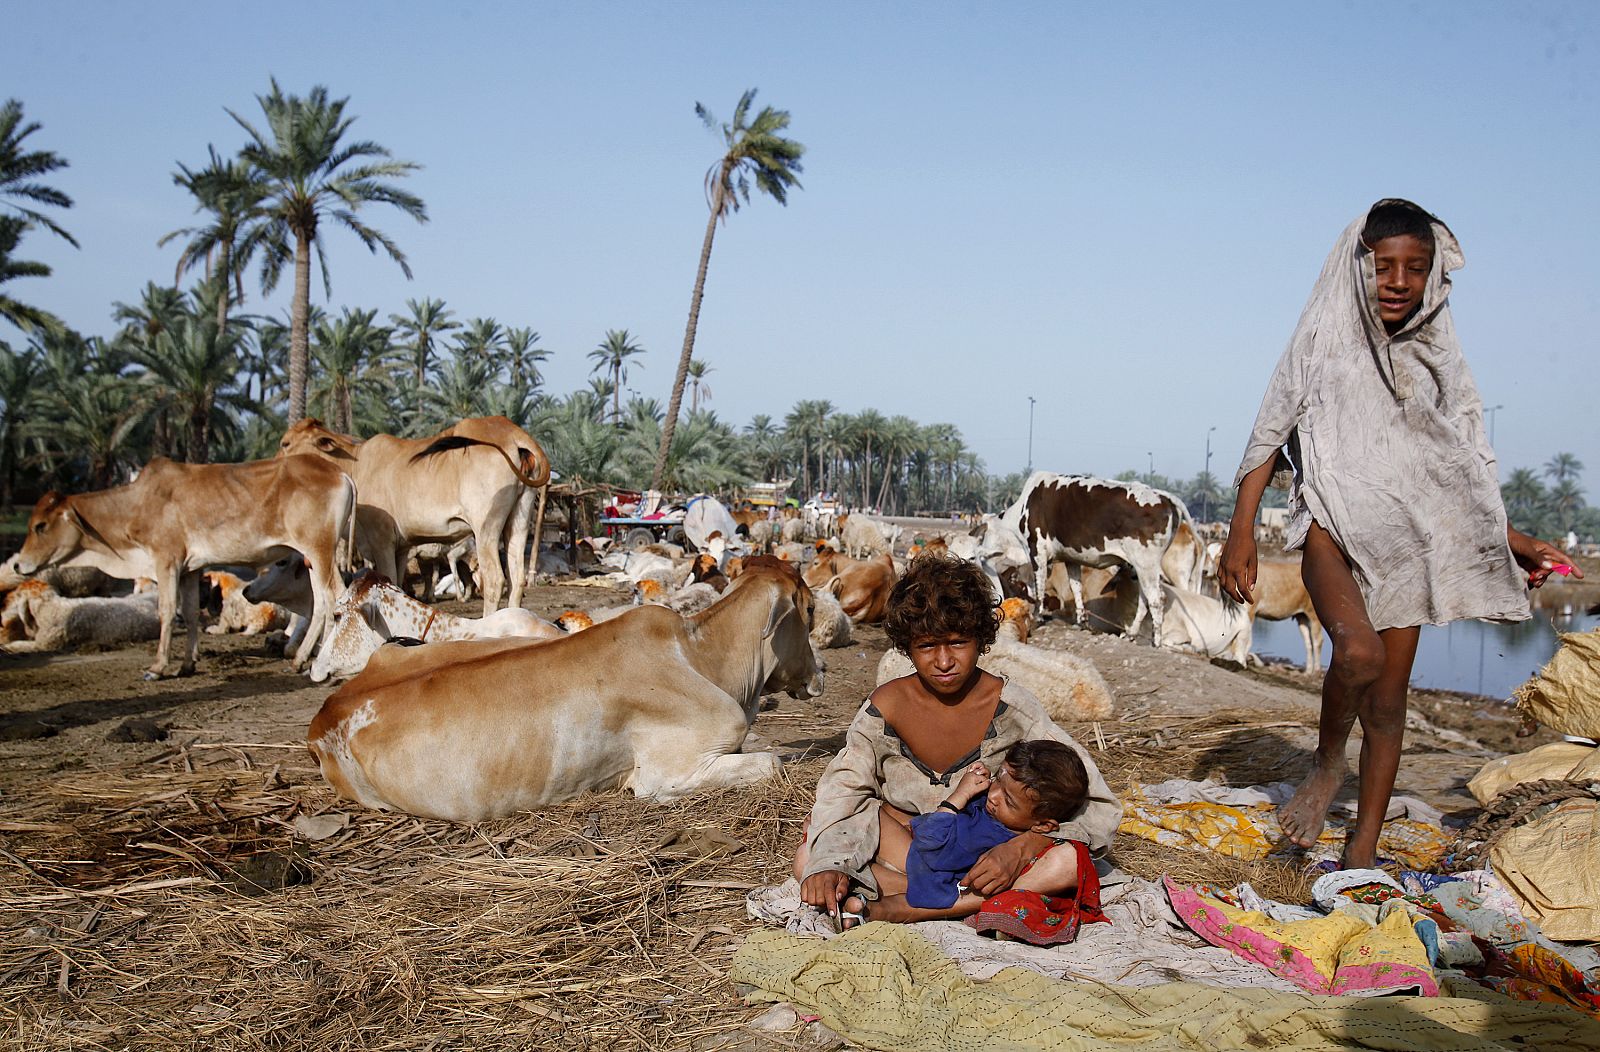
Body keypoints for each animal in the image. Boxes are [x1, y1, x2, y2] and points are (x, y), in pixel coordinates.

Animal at [0, 454, 353, 674]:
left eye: (40, 526)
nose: (18, 566)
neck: (137, 504)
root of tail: (340, 473)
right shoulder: (190, 569)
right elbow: (191, 612)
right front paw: (187, 664)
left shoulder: (166, 561)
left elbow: (167, 611)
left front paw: (158, 667)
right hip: (315, 557)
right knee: (323, 600)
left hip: (318, 551)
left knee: (331, 598)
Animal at [276, 418, 550, 613]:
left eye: (285, 443)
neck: (354, 465)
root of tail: (515, 435)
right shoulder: (401, 547)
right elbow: (398, 585)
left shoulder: (381, 540)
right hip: (518, 521)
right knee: (517, 579)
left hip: (485, 529)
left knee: (494, 580)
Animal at [307, 562, 825, 815]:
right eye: (810, 609)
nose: (820, 672)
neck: (702, 655)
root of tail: (324, 713)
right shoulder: (667, 774)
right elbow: (772, 762)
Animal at [1004, 473, 1196, 639]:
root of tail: (1163, 496)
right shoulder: (1070, 558)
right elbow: (1076, 587)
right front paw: (1081, 621)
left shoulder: (1037, 549)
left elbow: (1039, 586)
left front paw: (1037, 617)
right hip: (1143, 568)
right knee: (1144, 599)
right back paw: (1132, 633)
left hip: (1146, 564)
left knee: (1156, 599)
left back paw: (1156, 641)